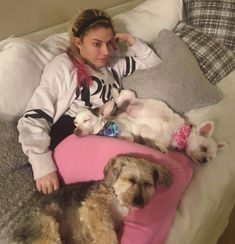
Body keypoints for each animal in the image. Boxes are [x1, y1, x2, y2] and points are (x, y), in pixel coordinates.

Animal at [74, 88, 227, 164]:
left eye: (211, 158)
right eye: (203, 148)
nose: (205, 161)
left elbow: (155, 143)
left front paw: (159, 147)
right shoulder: (148, 130)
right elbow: (156, 137)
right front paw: (161, 146)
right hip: (128, 95)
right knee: (118, 96)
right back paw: (114, 92)